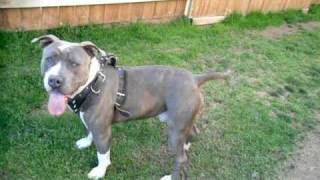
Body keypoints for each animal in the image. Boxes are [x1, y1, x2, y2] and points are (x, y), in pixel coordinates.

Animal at [31, 34, 230, 179]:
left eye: (74, 64)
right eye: (49, 59)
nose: (55, 80)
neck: (92, 83)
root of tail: (195, 79)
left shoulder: (102, 130)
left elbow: (102, 153)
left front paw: (99, 171)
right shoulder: (89, 120)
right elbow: (88, 131)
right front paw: (86, 142)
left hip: (175, 127)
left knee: (180, 158)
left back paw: (170, 176)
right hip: (183, 120)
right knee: (193, 131)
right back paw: (187, 145)